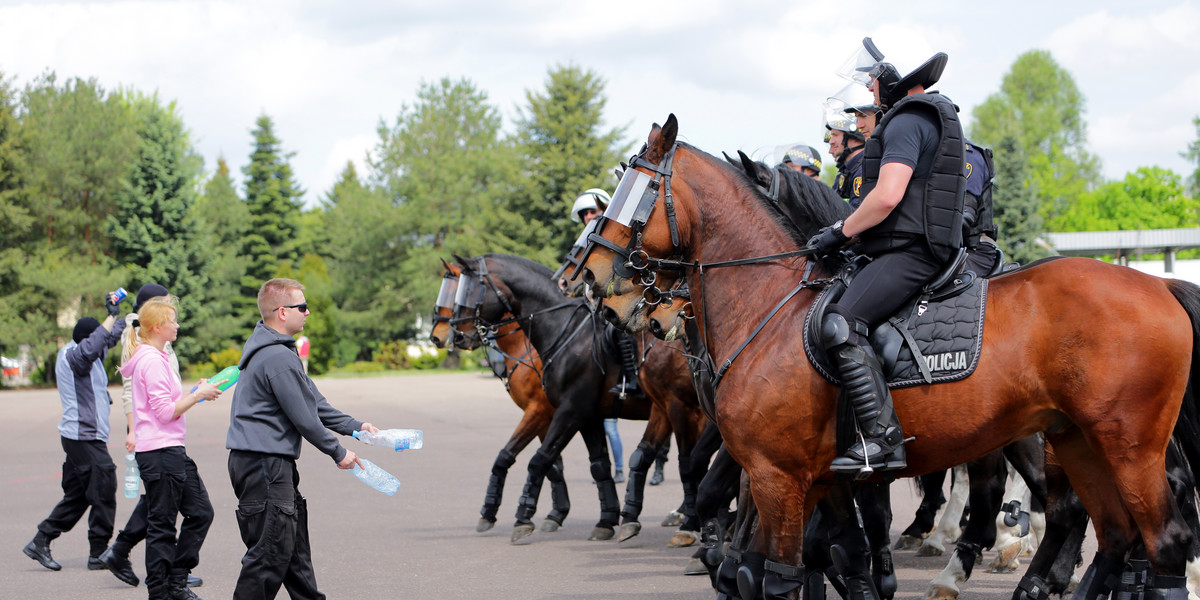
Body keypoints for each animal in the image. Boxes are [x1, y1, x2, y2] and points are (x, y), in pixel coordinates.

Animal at [576, 113, 1200, 600]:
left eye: (636, 189)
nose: (591, 277)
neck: (769, 305)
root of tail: (1160, 283)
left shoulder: (776, 476)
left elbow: (773, 571)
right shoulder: (817, 479)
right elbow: (834, 553)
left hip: (1123, 446)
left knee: (1152, 535)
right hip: (1075, 439)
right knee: (1108, 530)